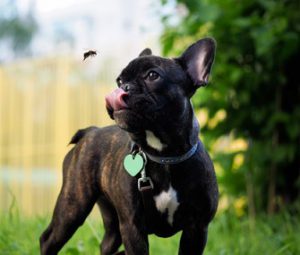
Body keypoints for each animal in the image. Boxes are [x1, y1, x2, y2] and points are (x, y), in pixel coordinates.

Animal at [39, 36, 218, 254]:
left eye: (153, 75)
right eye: (120, 80)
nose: (124, 87)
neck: (164, 156)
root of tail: (90, 131)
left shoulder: (197, 228)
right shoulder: (133, 226)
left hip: (111, 220)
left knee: (107, 243)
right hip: (73, 204)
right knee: (48, 239)